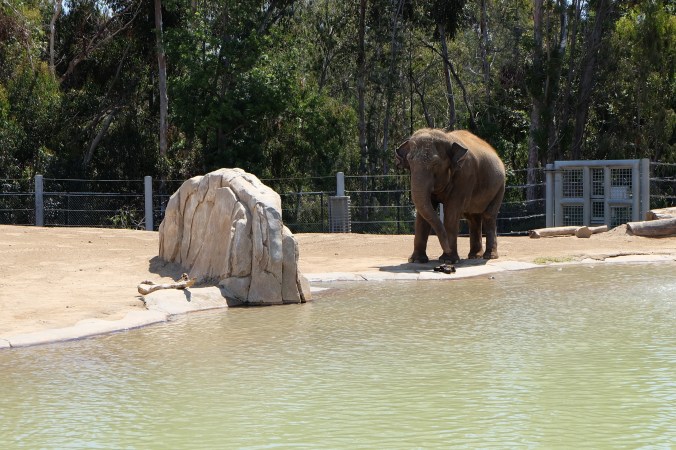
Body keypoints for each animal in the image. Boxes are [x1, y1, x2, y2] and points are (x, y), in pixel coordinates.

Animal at [395, 128, 506, 264]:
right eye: (410, 161)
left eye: (435, 163)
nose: (446, 248)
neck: (447, 138)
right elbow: (422, 216)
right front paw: (416, 260)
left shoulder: (465, 176)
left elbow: (452, 212)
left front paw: (448, 260)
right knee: (473, 218)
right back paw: (474, 256)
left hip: (500, 187)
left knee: (489, 216)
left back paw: (489, 256)